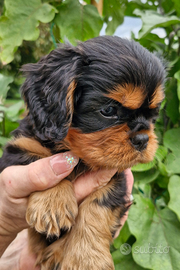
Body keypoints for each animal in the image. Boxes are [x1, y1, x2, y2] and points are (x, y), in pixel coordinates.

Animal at [0, 36, 165, 270]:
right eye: (108, 110)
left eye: (154, 113)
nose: (143, 139)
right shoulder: (17, 150)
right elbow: (42, 161)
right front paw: (52, 203)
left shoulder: (117, 178)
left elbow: (97, 205)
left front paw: (86, 259)